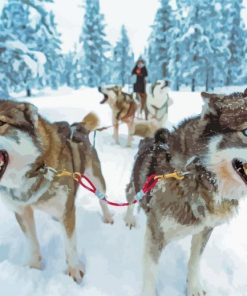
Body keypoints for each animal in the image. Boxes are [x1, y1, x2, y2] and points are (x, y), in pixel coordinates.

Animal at [0, 101, 112, 282]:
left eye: (1, 122)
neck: (37, 169)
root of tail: (78, 126)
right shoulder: (21, 211)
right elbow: (32, 243)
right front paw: (34, 269)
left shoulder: (67, 211)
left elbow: (70, 245)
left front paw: (74, 271)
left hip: (96, 179)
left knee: (102, 199)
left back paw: (108, 217)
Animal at [124, 89, 247, 294]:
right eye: (246, 131)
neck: (198, 174)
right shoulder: (156, 232)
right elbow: (150, 272)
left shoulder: (205, 229)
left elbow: (195, 261)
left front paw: (194, 287)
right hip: (135, 185)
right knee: (130, 195)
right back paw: (129, 219)